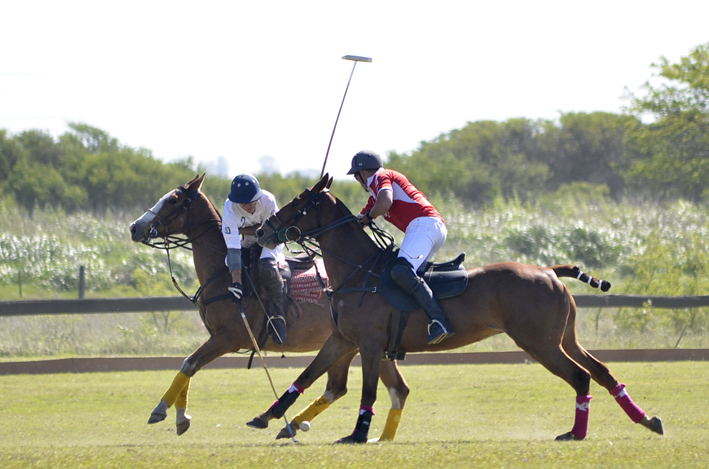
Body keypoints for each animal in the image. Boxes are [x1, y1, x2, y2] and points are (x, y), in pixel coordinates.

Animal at [129, 174, 410, 436]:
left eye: (173, 200)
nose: (134, 228)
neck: (223, 273)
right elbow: (190, 365)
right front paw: (180, 417)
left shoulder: (230, 336)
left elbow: (190, 363)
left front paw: (163, 411)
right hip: (360, 343)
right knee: (367, 387)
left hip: (359, 342)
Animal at [249, 175, 664, 442]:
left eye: (300, 204)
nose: (261, 232)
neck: (358, 270)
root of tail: (549, 270)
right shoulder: (342, 339)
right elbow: (305, 377)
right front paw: (266, 417)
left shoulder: (368, 343)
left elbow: (368, 392)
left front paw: (357, 435)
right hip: (565, 338)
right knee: (602, 372)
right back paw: (647, 421)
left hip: (540, 343)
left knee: (581, 377)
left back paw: (577, 434)